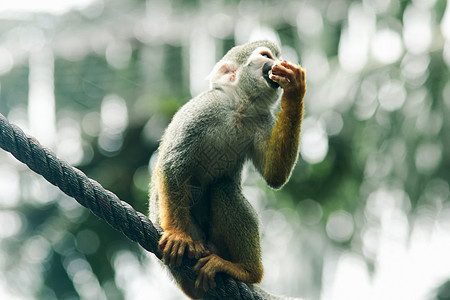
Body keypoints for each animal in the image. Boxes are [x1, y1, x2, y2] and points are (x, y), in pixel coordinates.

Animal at [148, 40, 306, 300]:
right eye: (266, 56)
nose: (277, 62)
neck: (238, 108)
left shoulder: (262, 119)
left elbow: (275, 175)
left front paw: (294, 90)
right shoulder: (203, 108)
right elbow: (173, 164)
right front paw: (179, 236)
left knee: (223, 187)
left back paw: (245, 271)